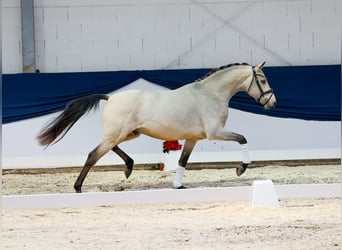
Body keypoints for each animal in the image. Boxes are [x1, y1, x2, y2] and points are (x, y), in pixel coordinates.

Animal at [37, 61, 276, 192]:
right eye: (263, 80)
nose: (272, 102)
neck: (210, 94)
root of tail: (110, 97)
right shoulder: (215, 133)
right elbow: (243, 138)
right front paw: (241, 168)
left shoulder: (192, 138)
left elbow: (182, 161)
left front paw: (178, 185)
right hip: (118, 134)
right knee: (93, 155)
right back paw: (78, 188)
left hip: (128, 134)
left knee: (109, 148)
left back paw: (128, 167)